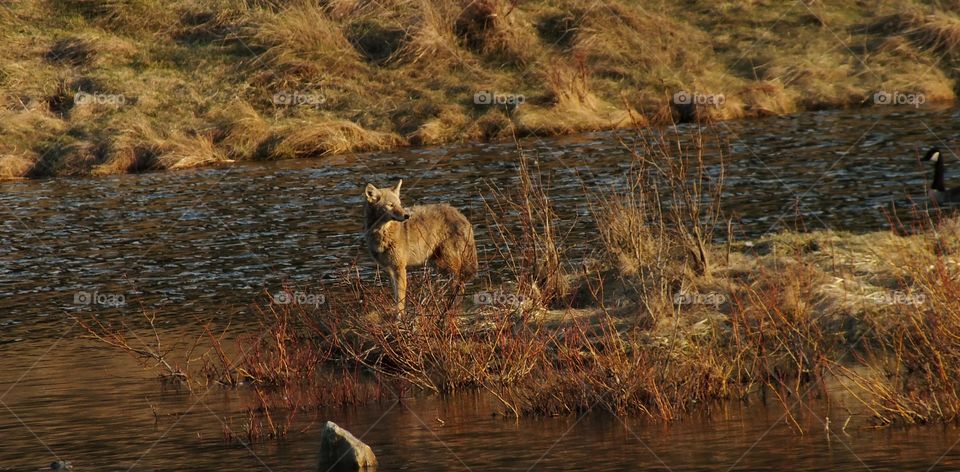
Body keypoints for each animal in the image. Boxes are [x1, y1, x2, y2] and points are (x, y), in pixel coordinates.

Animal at [363, 180, 478, 314]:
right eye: (390, 205)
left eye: (399, 204)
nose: (406, 216)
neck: (382, 233)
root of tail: (462, 216)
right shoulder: (390, 269)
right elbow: (396, 297)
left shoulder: (400, 268)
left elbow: (401, 299)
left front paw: (400, 316)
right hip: (439, 264)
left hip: (447, 263)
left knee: (459, 284)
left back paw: (450, 308)